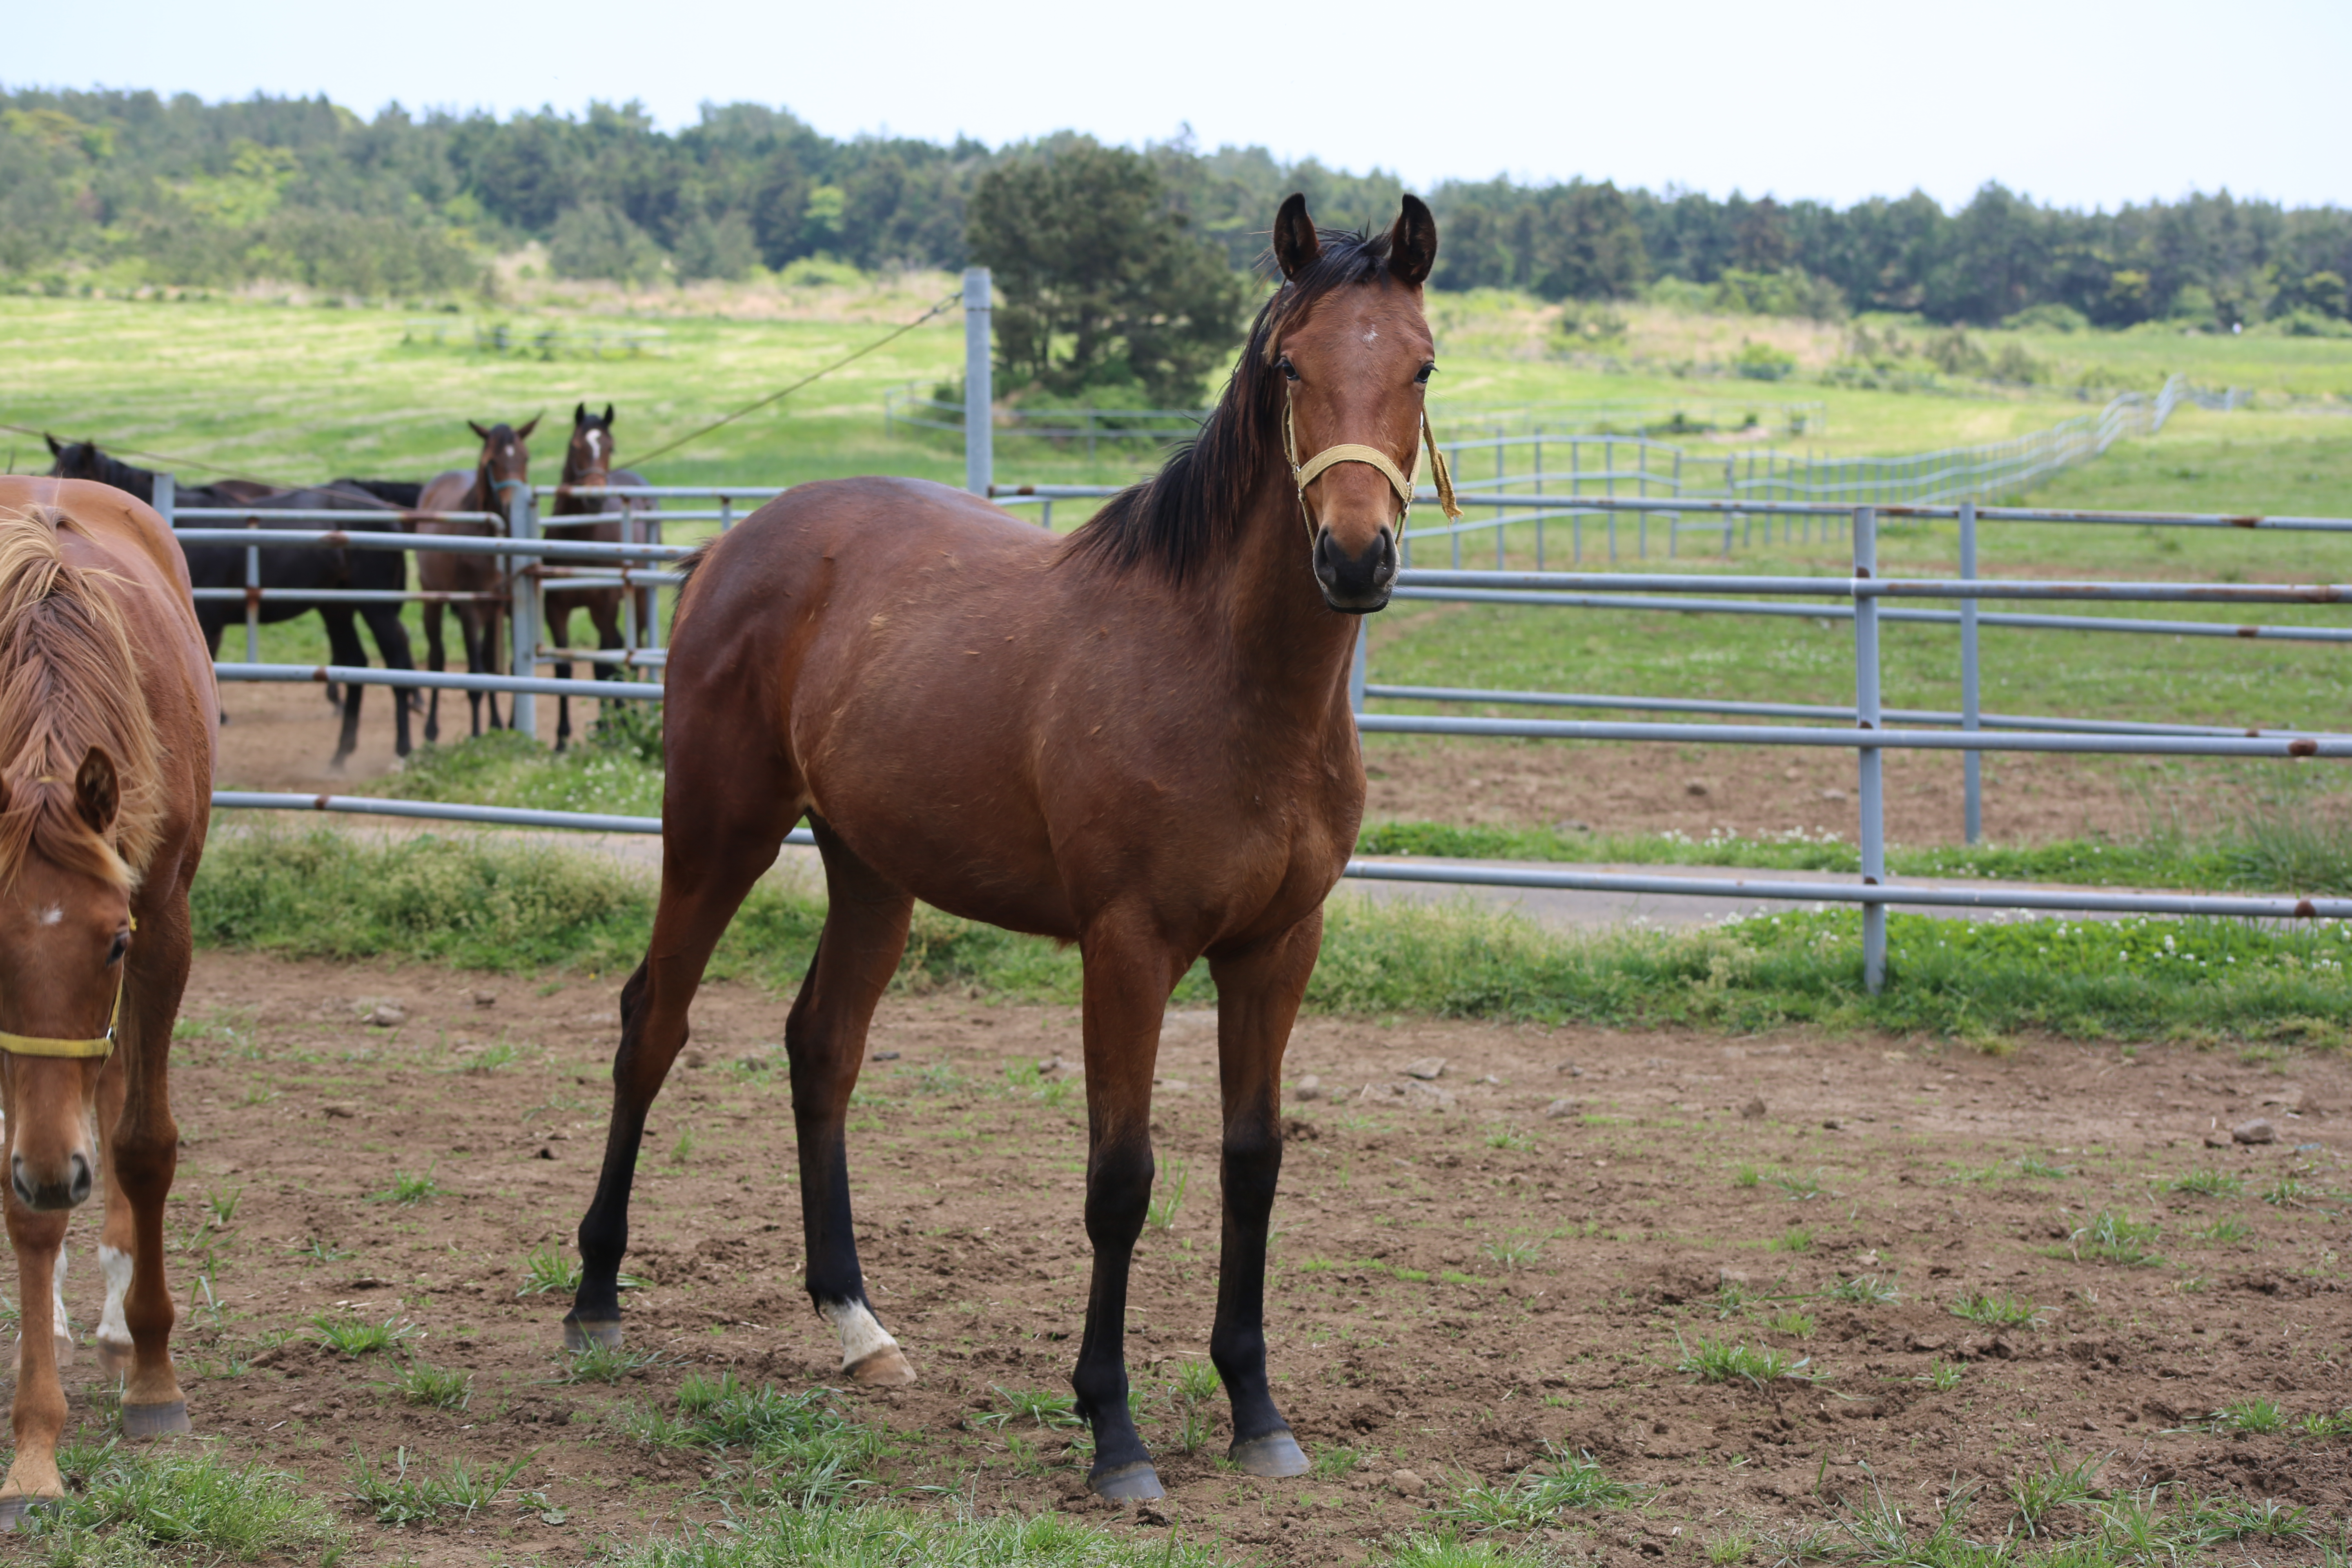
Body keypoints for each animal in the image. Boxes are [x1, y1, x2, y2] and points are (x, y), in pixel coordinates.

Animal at [421, 421, 539, 747]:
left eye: (525, 458)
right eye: (491, 462)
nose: (510, 509)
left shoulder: (507, 609)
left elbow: (507, 670)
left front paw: (508, 726)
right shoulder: (470, 609)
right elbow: (475, 674)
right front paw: (476, 734)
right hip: (432, 600)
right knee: (437, 659)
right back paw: (431, 731)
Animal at [543, 402, 663, 752]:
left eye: (611, 447)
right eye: (576, 446)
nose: (595, 498)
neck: (581, 537)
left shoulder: (605, 605)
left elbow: (604, 665)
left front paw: (614, 729)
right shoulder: (554, 608)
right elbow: (564, 667)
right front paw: (562, 738)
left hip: (636, 600)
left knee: (629, 655)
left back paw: (628, 716)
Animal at [562, 200, 1458, 1504]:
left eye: (1422, 366)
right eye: (1292, 366)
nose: (1354, 556)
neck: (1230, 679)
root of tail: (732, 547)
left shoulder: (1277, 947)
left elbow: (1252, 1162)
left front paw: (1256, 1411)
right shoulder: (1126, 949)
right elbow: (1121, 1180)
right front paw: (1115, 1433)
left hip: (871, 869)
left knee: (822, 1048)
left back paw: (859, 1328)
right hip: (718, 831)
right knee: (654, 1024)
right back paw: (594, 1296)